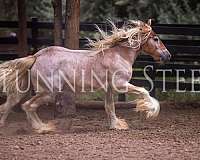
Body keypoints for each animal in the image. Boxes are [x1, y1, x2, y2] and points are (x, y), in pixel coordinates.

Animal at [0, 19, 170, 133]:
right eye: (156, 38)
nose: (167, 55)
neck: (119, 55)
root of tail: (36, 56)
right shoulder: (120, 85)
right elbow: (144, 91)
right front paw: (150, 111)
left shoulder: (109, 88)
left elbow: (110, 107)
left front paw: (116, 125)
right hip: (48, 92)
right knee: (28, 106)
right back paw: (43, 128)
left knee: (10, 105)